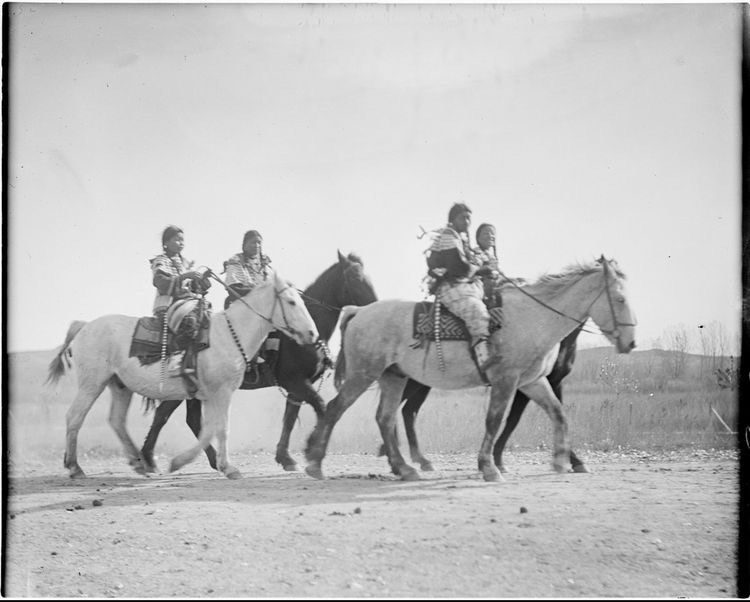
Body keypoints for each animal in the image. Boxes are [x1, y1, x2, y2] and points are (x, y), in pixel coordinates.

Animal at [47, 270, 318, 478]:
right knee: (75, 417)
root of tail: (84, 326)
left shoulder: (211, 395)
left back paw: (139, 462)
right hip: (91, 383)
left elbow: (210, 428)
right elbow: (221, 428)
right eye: (292, 302)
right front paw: (227, 467)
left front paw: (187, 462)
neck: (230, 335)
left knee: (116, 420)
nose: (312, 334)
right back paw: (75, 467)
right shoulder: (221, 393)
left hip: (119, 386)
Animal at [139, 251, 378, 472]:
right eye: (355, 277)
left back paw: (212, 460)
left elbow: (290, 418)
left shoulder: (298, 385)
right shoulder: (295, 382)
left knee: (192, 419)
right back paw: (149, 458)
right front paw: (312, 450)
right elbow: (321, 407)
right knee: (163, 415)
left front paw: (286, 458)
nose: (376, 305)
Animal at [382, 324, 588, 474]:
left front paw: (572, 460)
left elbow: (557, 414)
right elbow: (513, 420)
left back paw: (412, 458)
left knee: (407, 410)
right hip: (416, 382)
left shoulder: (553, 381)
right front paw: (496, 460)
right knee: (398, 409)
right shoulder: (525, 384)